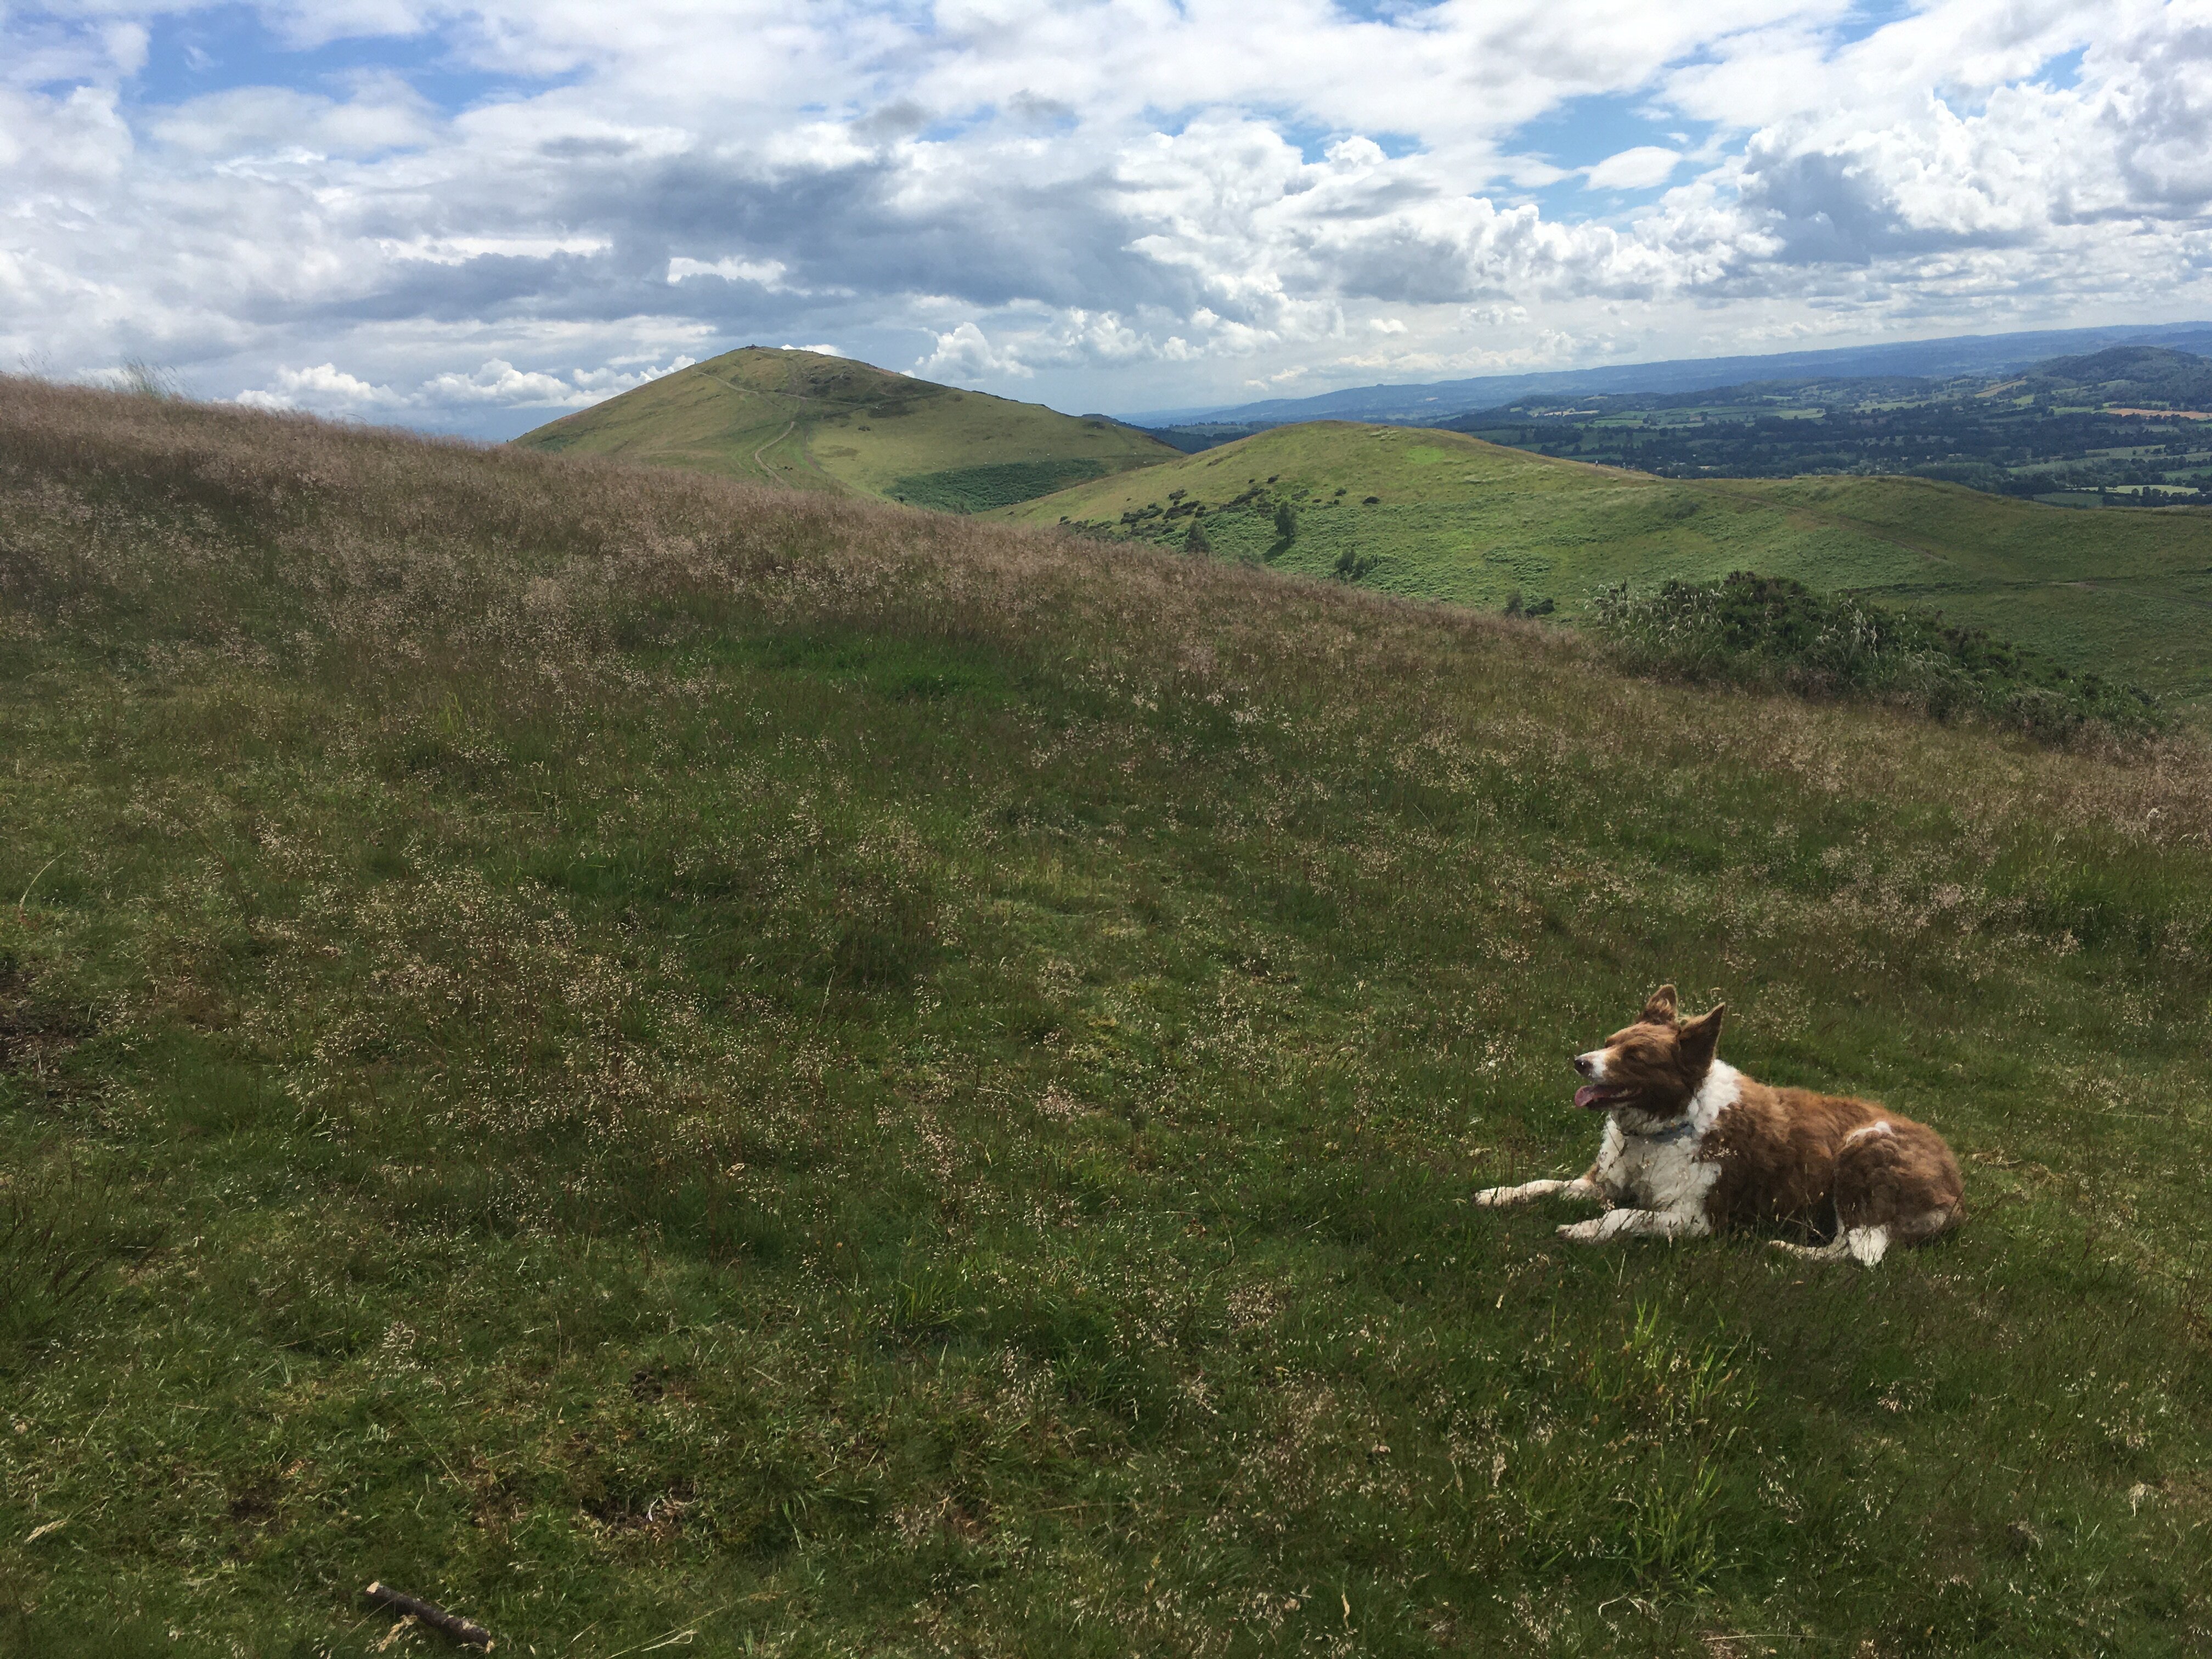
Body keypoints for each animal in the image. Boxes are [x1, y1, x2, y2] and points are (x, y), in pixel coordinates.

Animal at [1477, 986, 1964, 1274]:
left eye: (1635, 1057)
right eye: (1610, 1042)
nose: (1580, 1062)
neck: (1668, 1127)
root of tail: (1957, 1186)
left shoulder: (1696, 1218)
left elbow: (1622, 1216)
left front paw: (1583, 1231)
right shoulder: (1604, 1183)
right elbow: (1545, 1184)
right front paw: (1498, 1194)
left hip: (1862, 1153)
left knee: (1858, 1253)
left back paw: (1784, 1250)